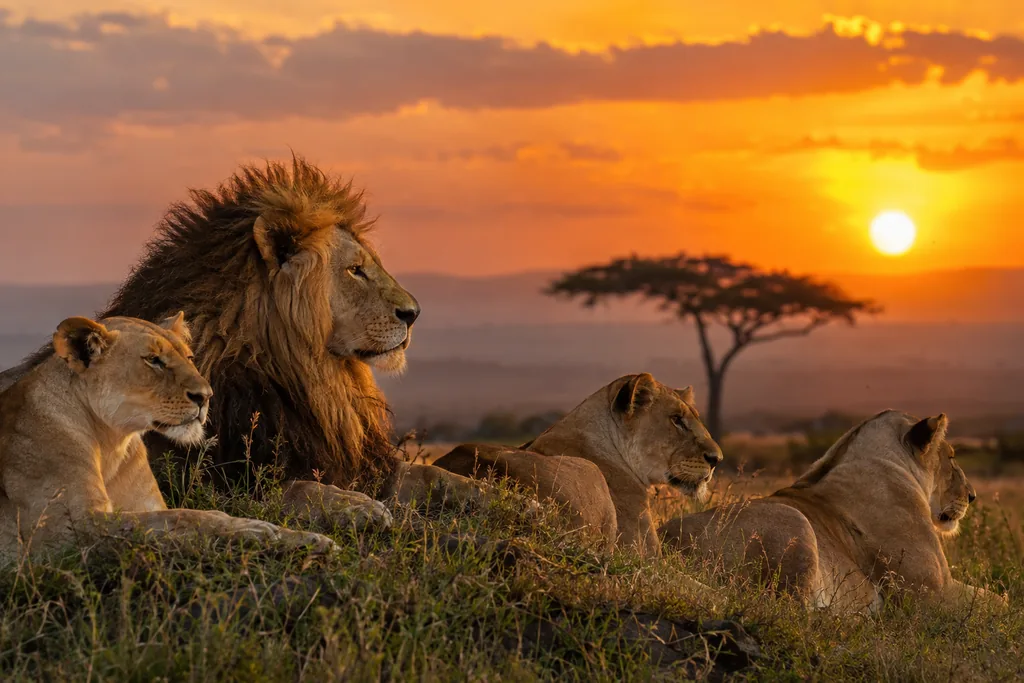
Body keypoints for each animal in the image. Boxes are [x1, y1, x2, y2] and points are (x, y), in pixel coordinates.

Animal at [0, 156, 496, 530]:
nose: (414, 313)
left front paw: (497, 493)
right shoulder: (205, 479)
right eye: (355, 270)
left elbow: (431, 473)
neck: (308, 375)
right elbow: (295, 489)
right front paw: (357, 506)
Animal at [0, 314, 337, 563]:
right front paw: (260, 532)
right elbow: (187, 518)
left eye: (188, 356)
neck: (111, 441)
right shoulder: (68, 533)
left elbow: (175, 519)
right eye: (153, 360)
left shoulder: (143, 505)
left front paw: (306, 538)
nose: (206, 396)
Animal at [659, 410, 1009, 613]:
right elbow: (999, 602)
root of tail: (663, 543)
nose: (972, 496)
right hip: (793, 521)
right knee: (786, 611)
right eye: (951, 457)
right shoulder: (930, 592)